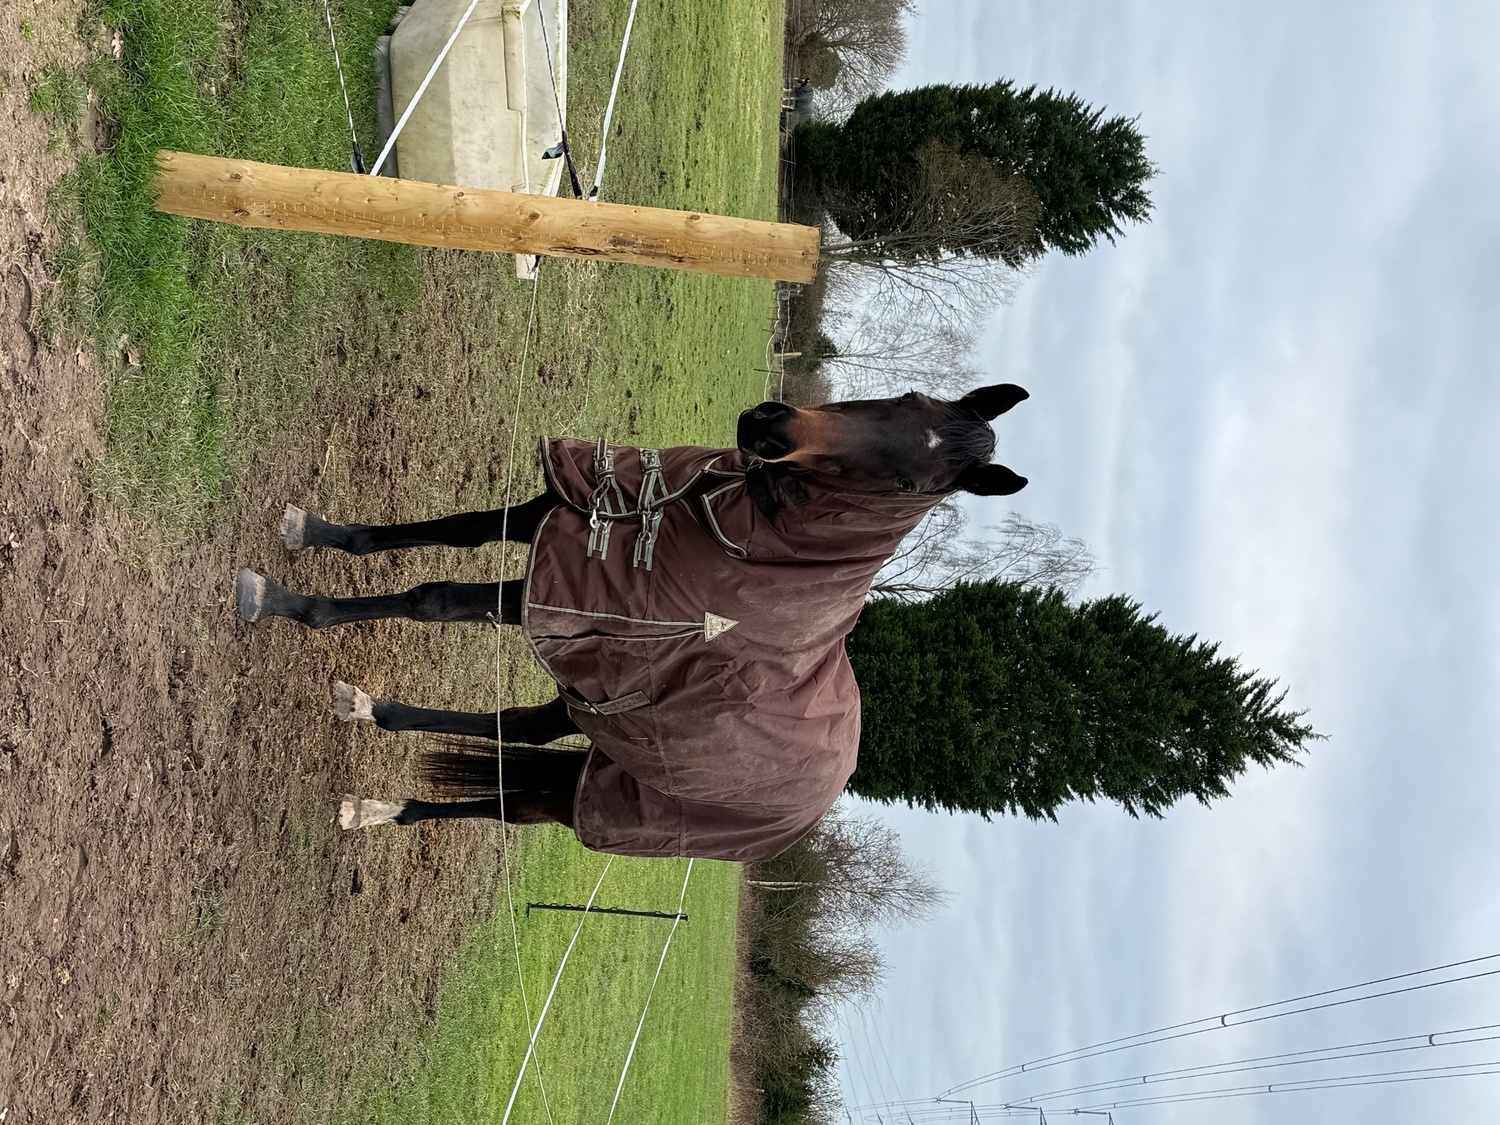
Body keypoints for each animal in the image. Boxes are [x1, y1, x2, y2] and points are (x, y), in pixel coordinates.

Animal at [235, 384, 1030, 861]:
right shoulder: (565, 514)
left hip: (589, 792)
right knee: (521, 734)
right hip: (594, 719)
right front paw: (316, 533)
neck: (723, 525)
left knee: (510, 803)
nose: (767, 427)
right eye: (909, 397)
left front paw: (284, 603)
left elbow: (435, 595)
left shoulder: (568, 595)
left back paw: (378, 789)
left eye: (910, 482)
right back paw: (376, 747)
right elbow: (455, 531)